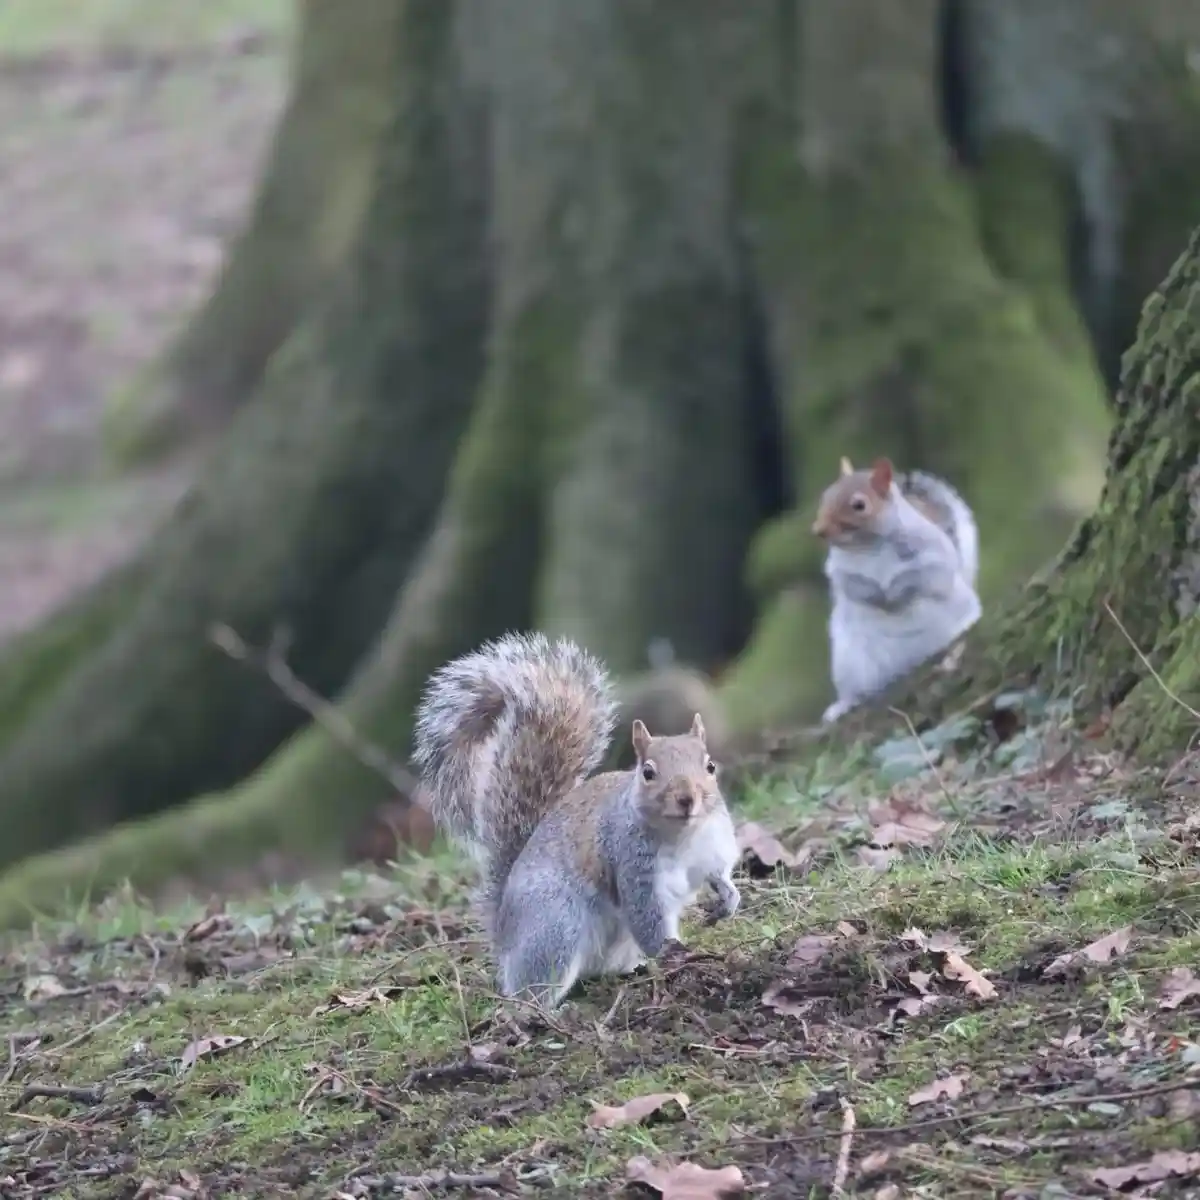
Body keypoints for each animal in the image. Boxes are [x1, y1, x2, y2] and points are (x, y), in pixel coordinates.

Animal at [413, 632, 741, 1008]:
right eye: (647, 773)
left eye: (710, 766)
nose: (688, 798)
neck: (682, 834)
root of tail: (504, 935)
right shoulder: (632, 864)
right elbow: (646, 919)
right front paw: (675, 955)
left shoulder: (712, 845)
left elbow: (718, 874)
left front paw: (728, 899)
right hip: (555, 924)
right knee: (530, 988)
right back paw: (547, 1010)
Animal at [812, 455, 981, 724]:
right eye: (825, 496)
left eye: (859, 505)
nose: (818, 530)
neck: (870, 545)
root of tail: (907, 665)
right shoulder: (840, 570)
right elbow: (852, 586)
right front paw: (878, 596)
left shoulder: (932, 554)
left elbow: (927, 575)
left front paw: (896, 593)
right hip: (849, 664)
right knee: (855, 692)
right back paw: (841, 707)